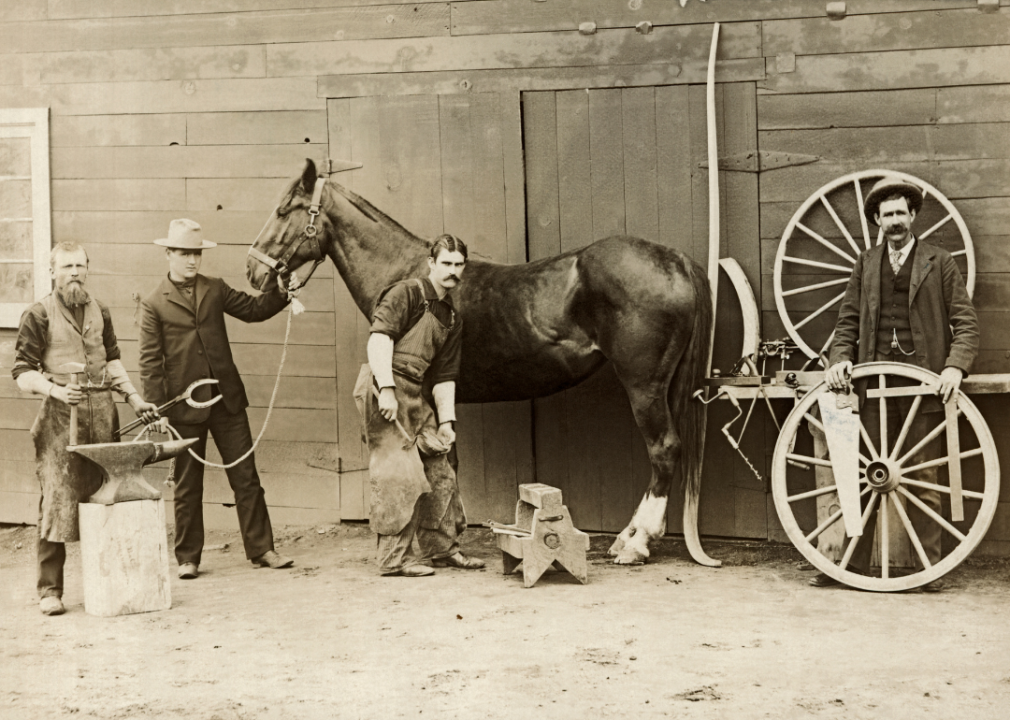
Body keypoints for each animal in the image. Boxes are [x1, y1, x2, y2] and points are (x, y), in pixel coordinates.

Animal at [246, 159, 717, 567]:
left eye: (284, 209)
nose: (253, 271)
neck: (417, 275)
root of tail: (673, 258)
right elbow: (447, 458)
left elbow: (440, 463)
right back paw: (629, 537)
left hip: (644, 386)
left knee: (663, 450)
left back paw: (636, 545)